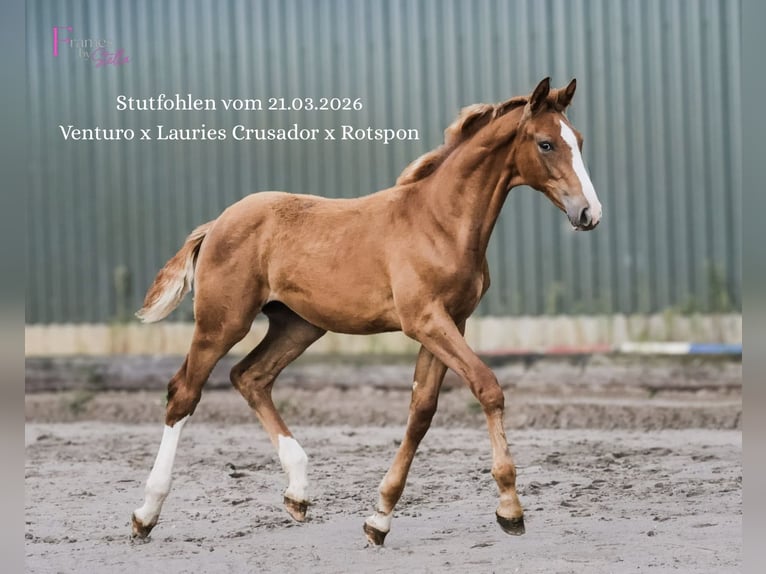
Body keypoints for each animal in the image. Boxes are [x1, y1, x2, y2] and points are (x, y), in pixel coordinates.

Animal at [130, 77, 602, 544]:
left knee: (250, 377)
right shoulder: (425, 320)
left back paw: (298, 493)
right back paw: (145, 514)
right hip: (222, 322)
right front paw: (510, 508)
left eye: (579, 140)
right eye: (545, 144)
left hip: (299, 325)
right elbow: (487, 387)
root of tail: (216, 224)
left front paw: (380, 517)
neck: (439, 222)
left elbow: (421, 411)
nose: (589, 213)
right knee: (184, 393)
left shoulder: (452, 321)